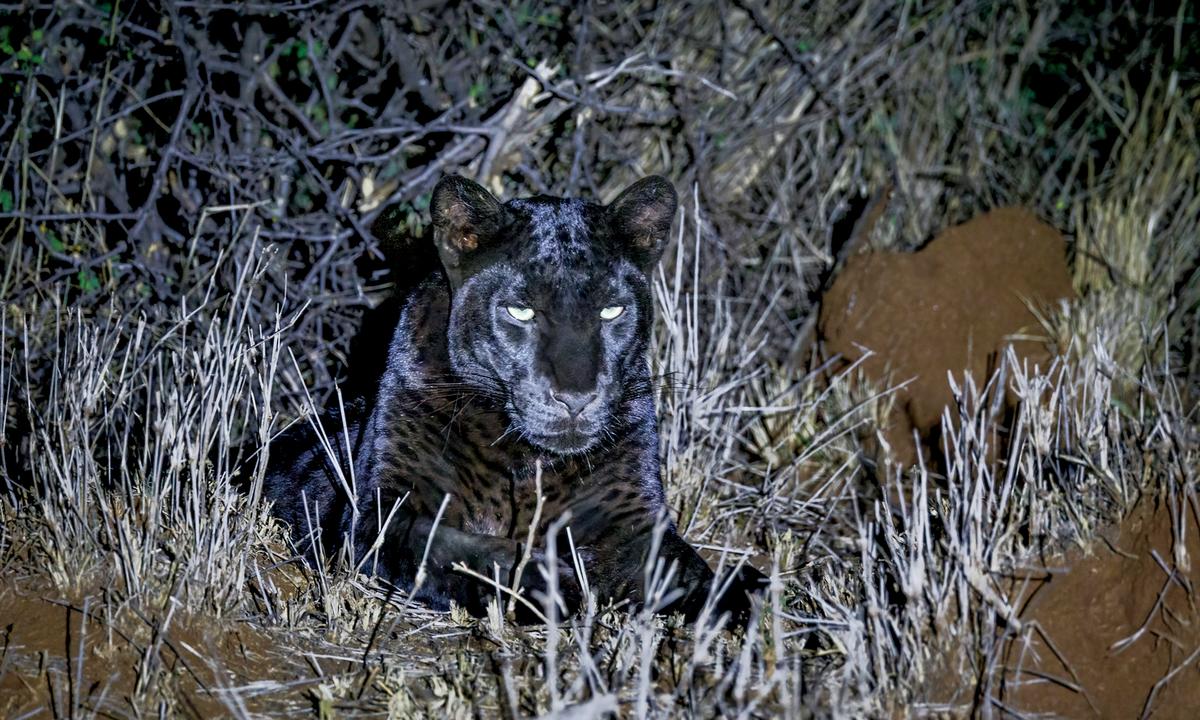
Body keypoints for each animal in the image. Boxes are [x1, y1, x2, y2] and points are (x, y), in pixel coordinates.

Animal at [264, 174, 766, 623]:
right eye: (520, 311)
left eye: (612, 310)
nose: (576, 398)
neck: (526, 458)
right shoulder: (383, 511)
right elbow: (457, 550)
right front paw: (555, 583)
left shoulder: (632, 521)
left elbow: (688, 570)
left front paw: (743, 602)